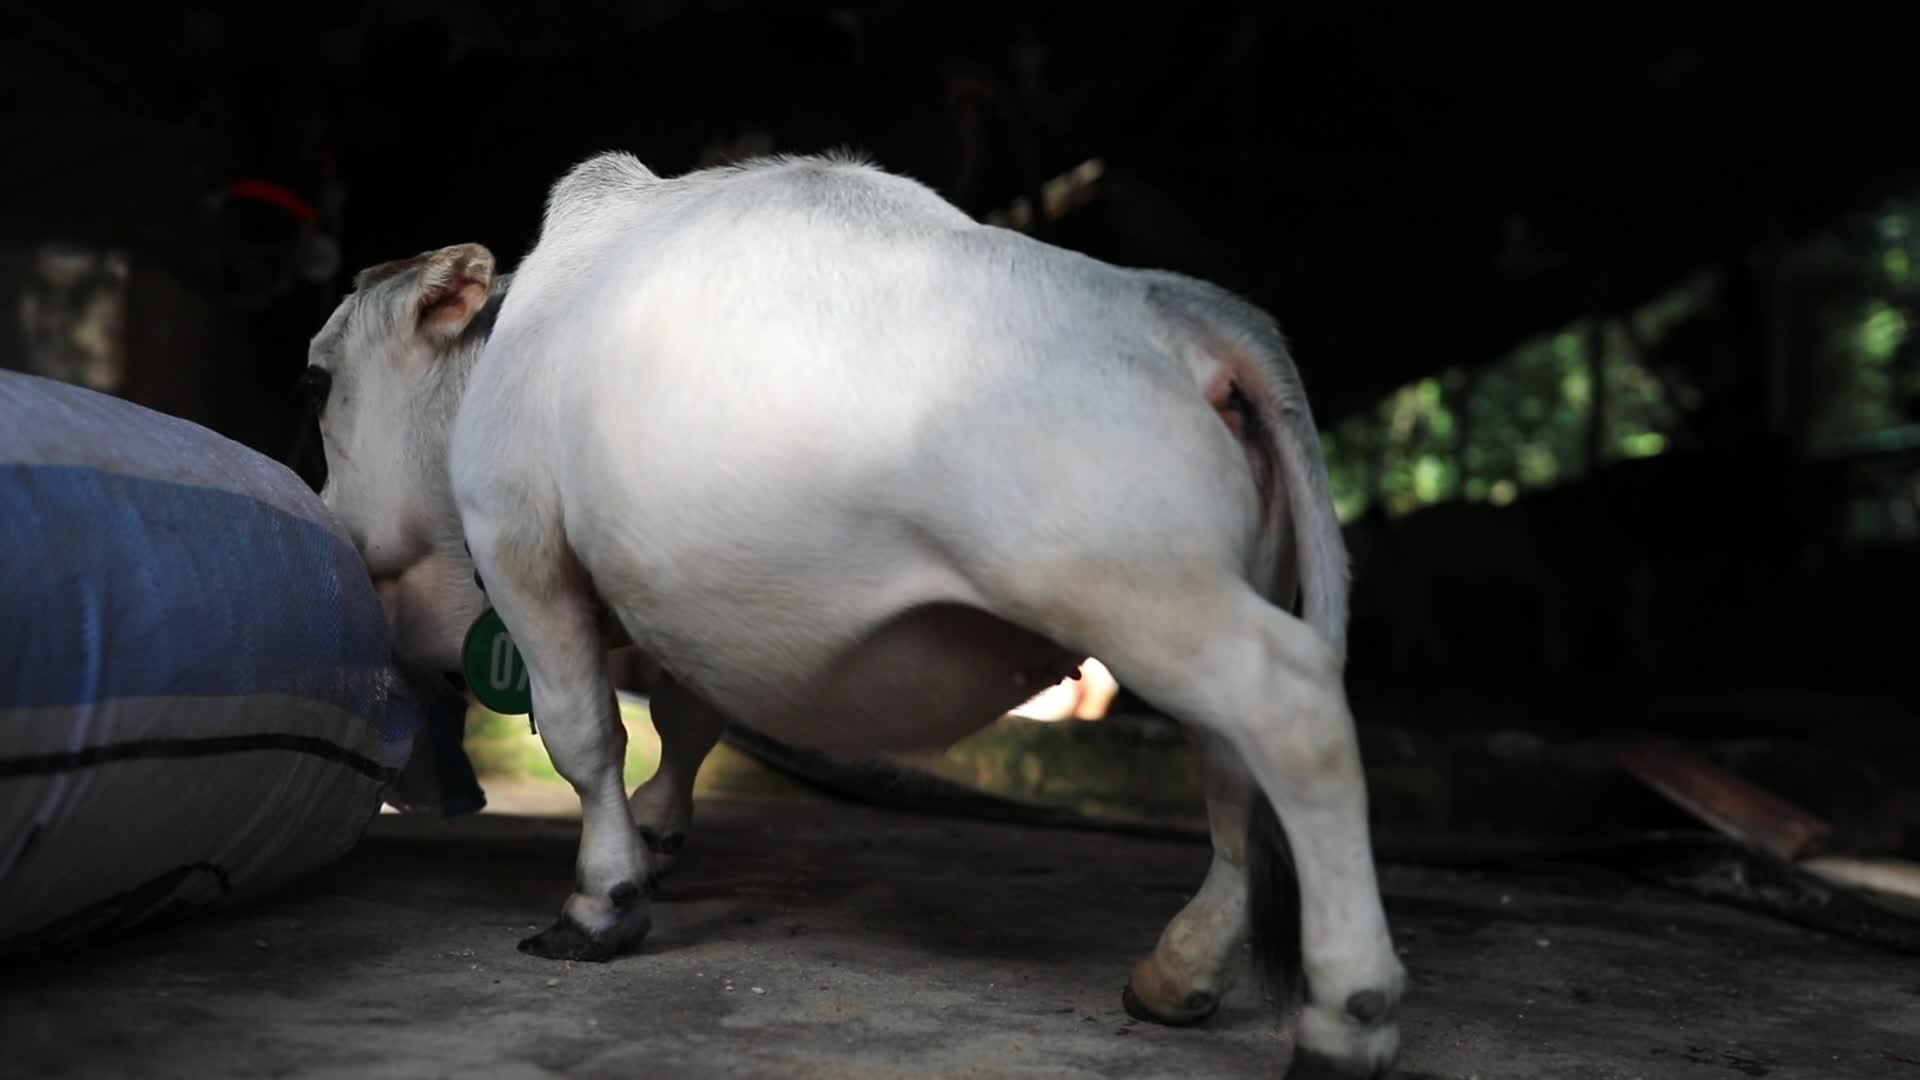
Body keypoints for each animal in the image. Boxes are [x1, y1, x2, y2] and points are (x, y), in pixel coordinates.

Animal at [305, 150, 1404, 1078]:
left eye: (324, 384)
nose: (327, 519)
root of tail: (1184, 306)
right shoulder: (687, 602)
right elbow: (689, 719)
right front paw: (658, 839)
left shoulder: (521, 539)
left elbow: (586, 734)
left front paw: (601, 900)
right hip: (1210, 588)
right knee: (1231, 771)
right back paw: (1179, 972)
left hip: (1141, 585)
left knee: (1293, 722)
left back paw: (1346, 1014)